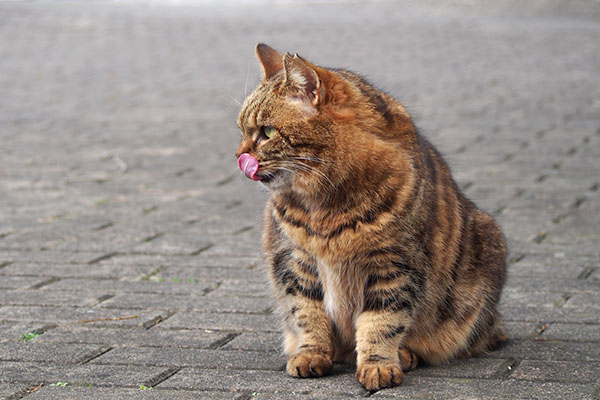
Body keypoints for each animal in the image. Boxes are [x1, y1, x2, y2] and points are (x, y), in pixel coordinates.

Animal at [234, 43, 506, 390]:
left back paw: (405, 354)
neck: (325, 205)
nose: (238, 155)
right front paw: (311, 354)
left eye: (267, 132)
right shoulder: (295, 263)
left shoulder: (395, 265)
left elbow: (382, 323)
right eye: (242, 130)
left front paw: (378, 364)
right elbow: (308, 315)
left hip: (488, 242)